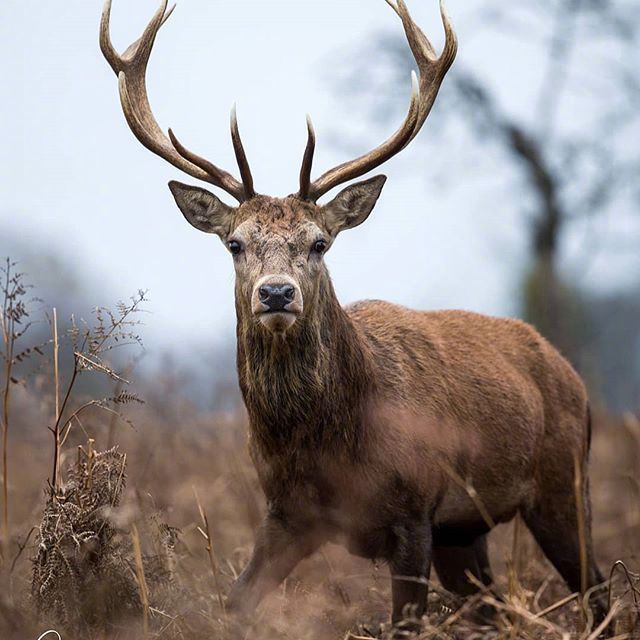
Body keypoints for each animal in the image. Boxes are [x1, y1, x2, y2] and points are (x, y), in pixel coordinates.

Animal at [101, 0, 608, 632]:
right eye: (235, 243)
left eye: (319, 242)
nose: (276, 294)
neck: (329, 447)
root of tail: (571, 375)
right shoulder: (287, 514)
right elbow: (234, 603)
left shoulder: (415, 509)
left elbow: (406, 622)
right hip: (465, 531)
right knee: (493, 607)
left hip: (564, 482)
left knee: (599, 588)